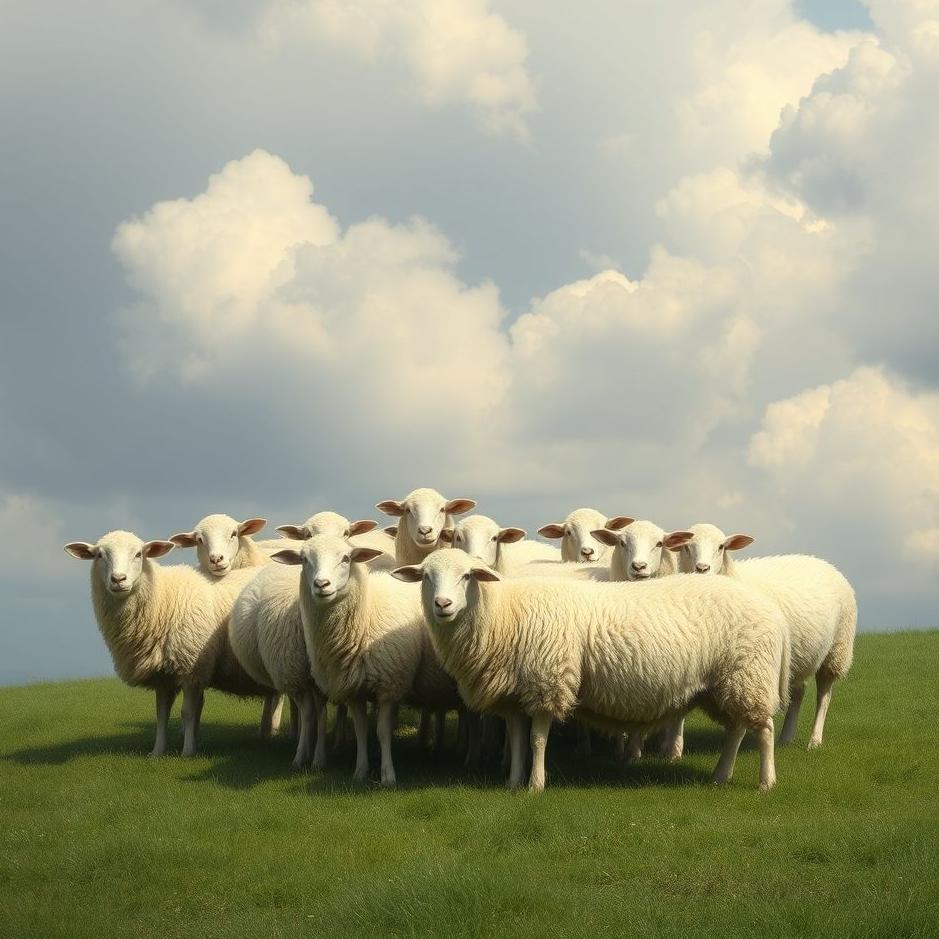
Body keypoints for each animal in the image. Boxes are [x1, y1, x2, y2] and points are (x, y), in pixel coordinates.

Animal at [64, 531, 272, 757]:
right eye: (99, 555)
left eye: (139, 554)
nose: (118, 579)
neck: (164, 600)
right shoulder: (162, 676)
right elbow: (161, 715)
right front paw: (157, 751)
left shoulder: (192, 668)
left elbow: (188, 712)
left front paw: (188, 751)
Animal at [229, 565, 327, 769]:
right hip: (301, 670)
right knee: (315, 710)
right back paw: (313, 755)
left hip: (292, 669)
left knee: (310, 711)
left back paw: (304, 755)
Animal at [271, 534, 463, 785]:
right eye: (304, 560)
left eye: (346, 558)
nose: (321, 585)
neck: (365, 615)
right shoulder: (353, 689)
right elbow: (361, 730)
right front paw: (360, 771)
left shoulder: (390, 685)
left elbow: (382, 731)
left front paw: (388, 775)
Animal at [393, 549, 789, 792]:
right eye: (425, 577)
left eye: (466, 576)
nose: (442, 604)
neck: (504, 615)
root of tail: (772, 610)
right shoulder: (516, 694)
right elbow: (518, 739)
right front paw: (513, 782)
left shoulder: (546, 682)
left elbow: (537, 740)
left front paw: (535, 785)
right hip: (725, 683)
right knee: (737, 729)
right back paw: (721, 775)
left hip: (748, 674)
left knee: (764, 730)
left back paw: (766, 782)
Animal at [673, 523, 857, 750]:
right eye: (686, 547)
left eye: (721, 547)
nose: (702, 569)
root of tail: (824, 562)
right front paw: (675, 747)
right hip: (794, 660)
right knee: (798, 692)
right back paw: (786, 737)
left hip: (836, 650)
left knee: (824, 695)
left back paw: (814, 740)